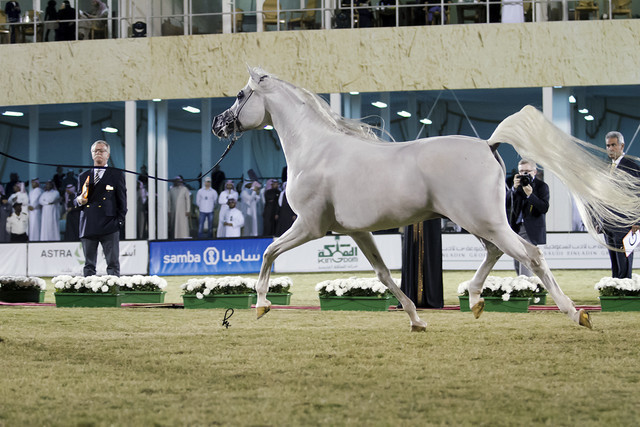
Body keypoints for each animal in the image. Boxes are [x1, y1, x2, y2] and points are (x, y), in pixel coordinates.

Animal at [212, 67, 640, 332]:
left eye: (240, 94)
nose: (218, 124)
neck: (316, 149)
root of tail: (488, 143)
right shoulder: (357, 232)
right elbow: (384, 275)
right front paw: (417, 319)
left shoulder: (310, 225)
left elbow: (269, 250)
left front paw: (262, 304)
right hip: (478, 222)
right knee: (496, 252)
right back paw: (474, 300)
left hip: (484, 221)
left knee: (530, 255)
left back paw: (576, 315)